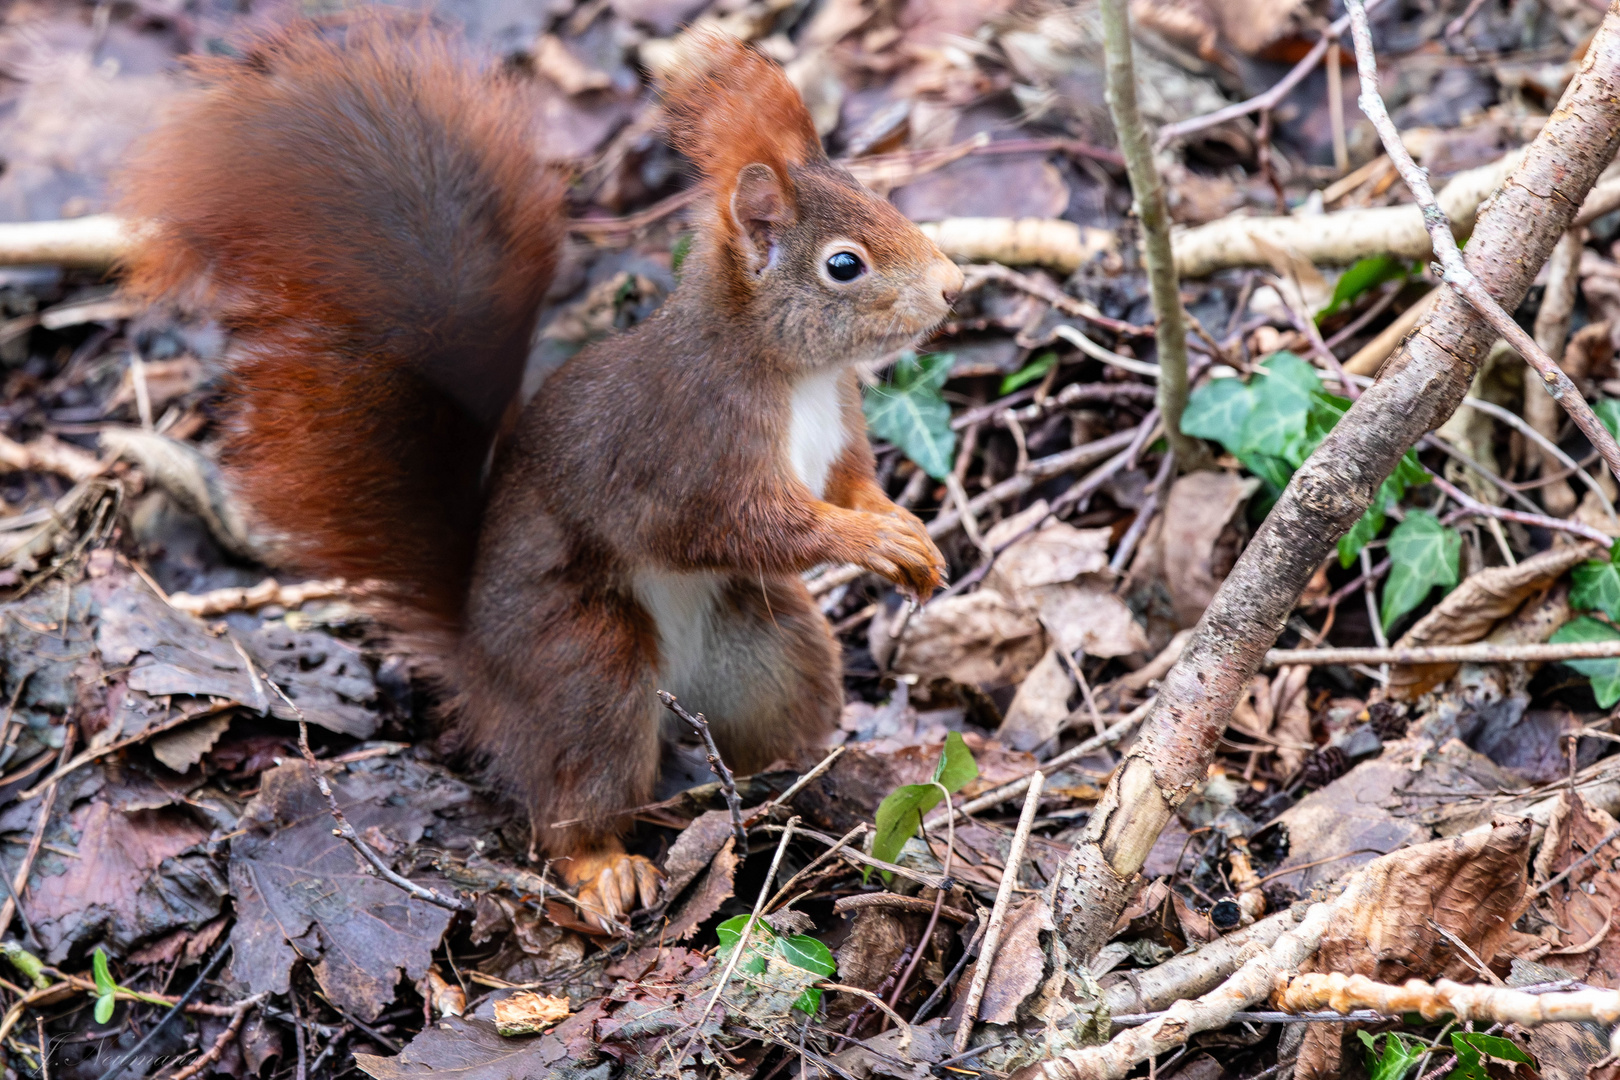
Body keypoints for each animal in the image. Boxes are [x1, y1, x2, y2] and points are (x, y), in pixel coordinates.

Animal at [123, 14, 959, 932]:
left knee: (776, 715)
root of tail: (478, 665)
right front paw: (869, 539)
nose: (954, 287)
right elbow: (740, 523)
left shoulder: (840, 425)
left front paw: (902, 528)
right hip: (584, 662)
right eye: (845, 265)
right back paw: (605, 868)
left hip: (767, 648)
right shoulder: (687, 446)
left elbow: (849, 483)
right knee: (571, 799)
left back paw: (820, 772)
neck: (792, 373)